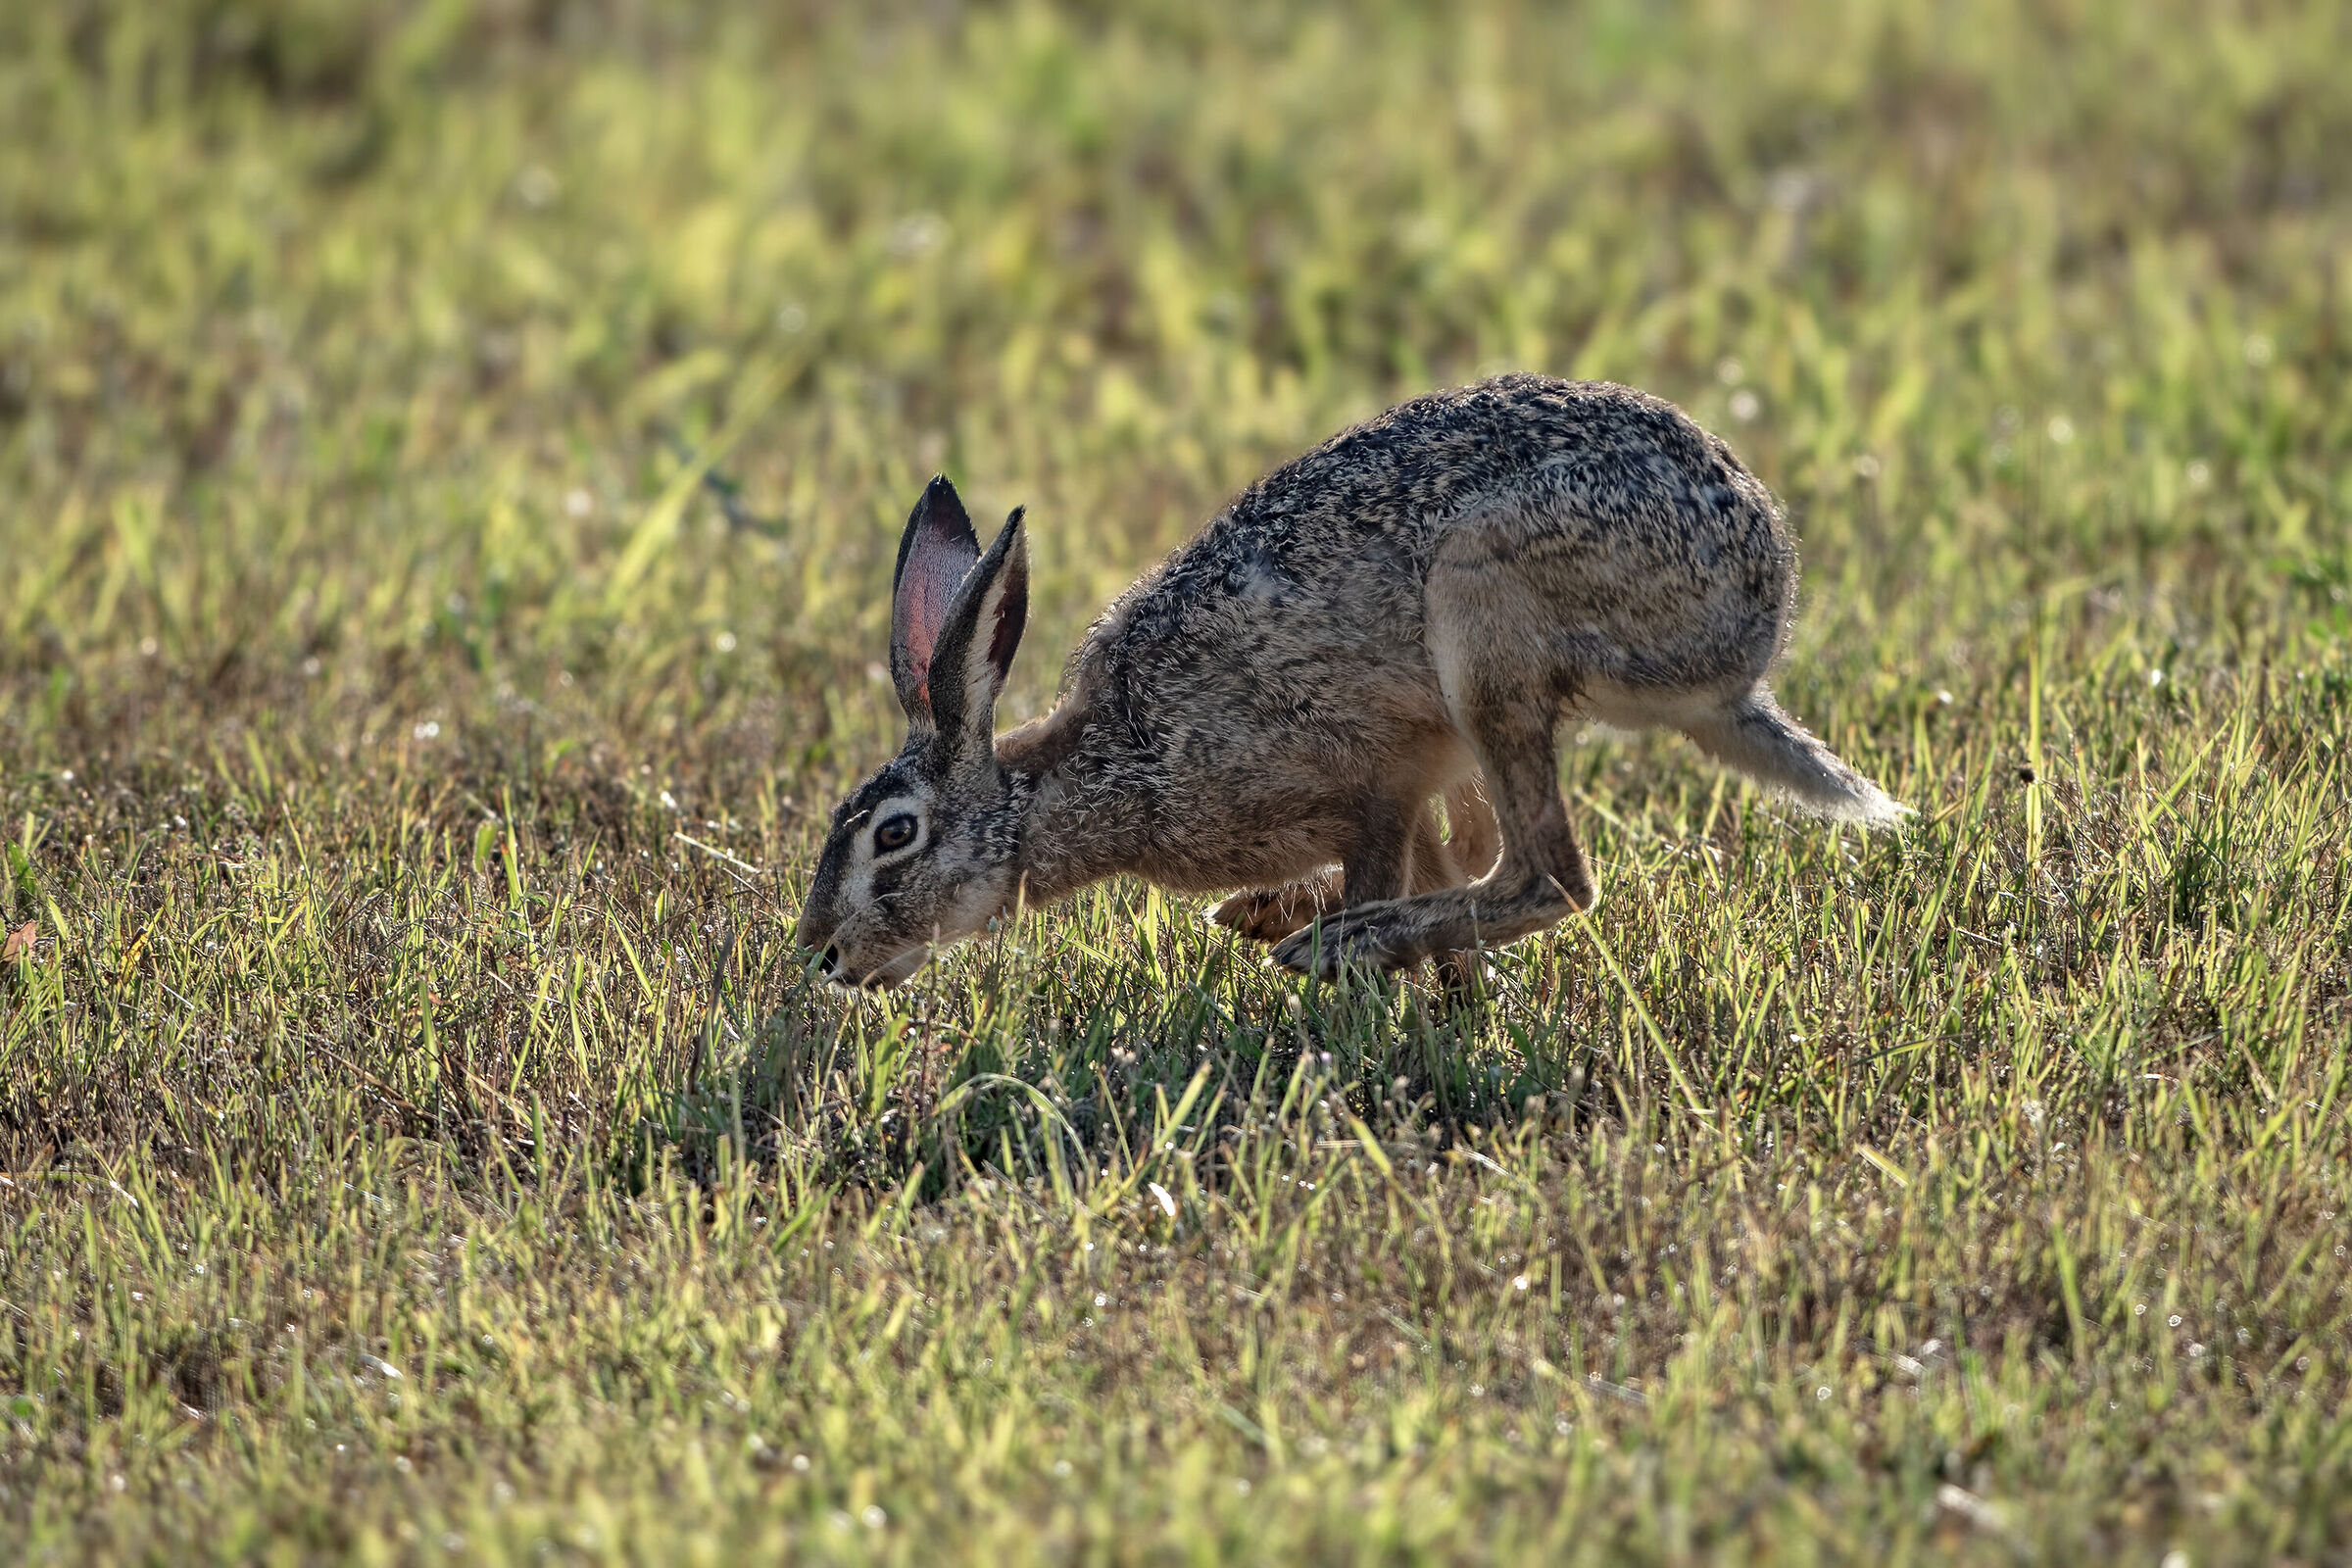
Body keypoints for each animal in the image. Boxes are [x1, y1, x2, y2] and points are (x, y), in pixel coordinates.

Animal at [793, 373, 1904, 990]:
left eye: (895, 836)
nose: (821, 956)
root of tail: (1747, 646)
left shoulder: (1372, 787)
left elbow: (1391, 858)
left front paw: (1347, 963)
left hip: (1482, 610)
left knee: (1549, 877)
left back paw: (1339, 944)